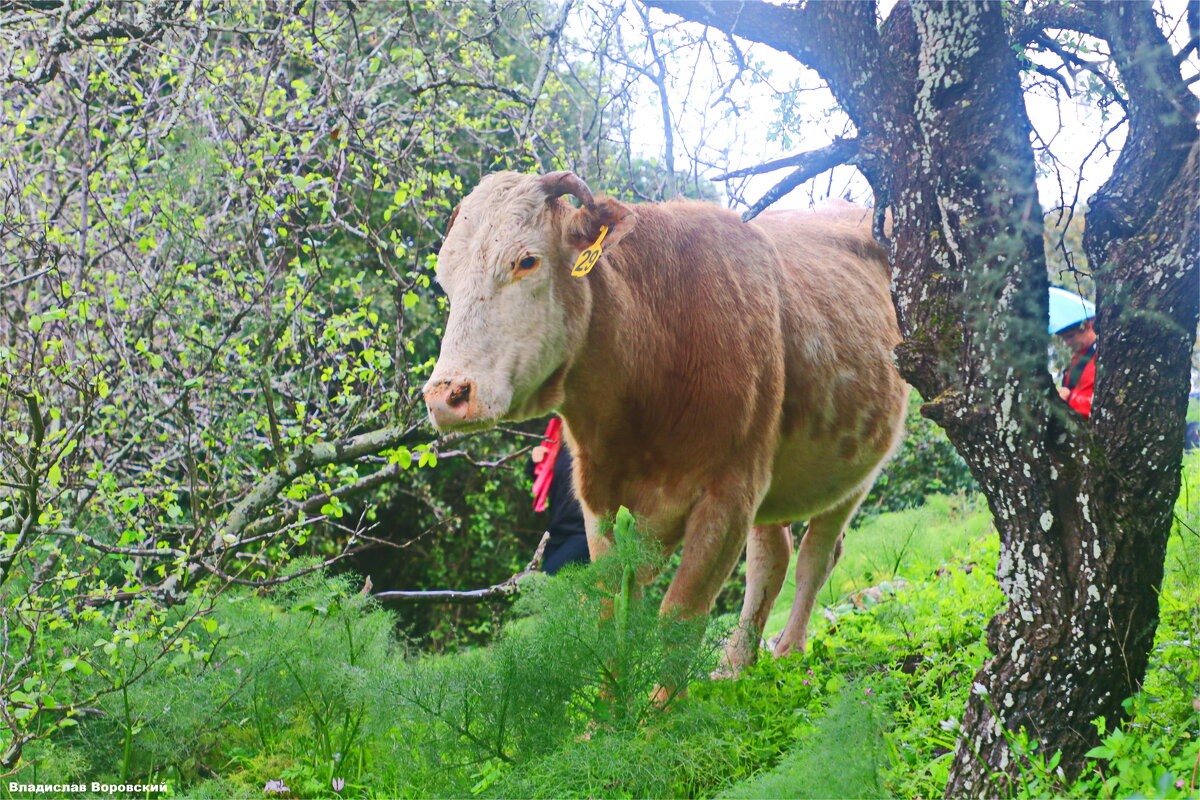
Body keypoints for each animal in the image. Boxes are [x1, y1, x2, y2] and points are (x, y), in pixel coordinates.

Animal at [427, 170, 902, 671]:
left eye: (526, 261)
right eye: (445, 279)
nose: (445, 396)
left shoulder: (728, 496)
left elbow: (680, 617)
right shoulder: (599, 498)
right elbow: (611, 608)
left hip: (855, 469)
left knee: (818, 553)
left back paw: (789, 651)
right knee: (772, 555)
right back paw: (735, 666)